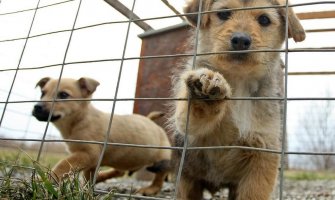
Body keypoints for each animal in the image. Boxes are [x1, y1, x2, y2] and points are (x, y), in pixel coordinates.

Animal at [32, 77, 172, 195]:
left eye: (63, 95)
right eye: (42, 93)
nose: (36, 107)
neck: (80, 120)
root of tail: (151, 121)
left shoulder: (89, 154)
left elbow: (63, 164)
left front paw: (45, 179)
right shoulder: (90, 160)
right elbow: (87, 177)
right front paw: (86, 190)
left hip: (161, 157)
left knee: (160, 176)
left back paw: (151, 189)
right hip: (128, 159)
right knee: (120, 171)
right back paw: (101, 177)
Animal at [172, 0, 306, 200]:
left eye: (264, 19)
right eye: (224, 13)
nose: (241, 40)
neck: (239, 82)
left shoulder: (263, 155)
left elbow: (253, 194)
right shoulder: (191, 132)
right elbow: (193, 117)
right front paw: (205, 88)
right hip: (187, 180)